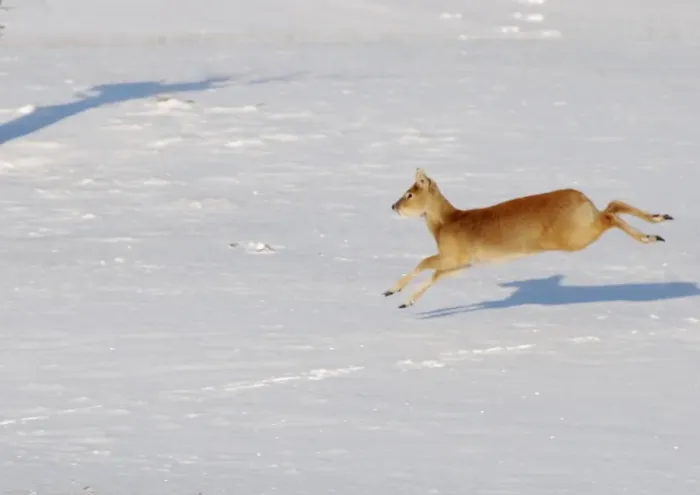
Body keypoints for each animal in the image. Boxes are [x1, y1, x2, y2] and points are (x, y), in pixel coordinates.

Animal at [384, 169, 673, 309]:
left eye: (410, 193)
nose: (393, 206)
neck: (445, 224)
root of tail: (582, 198)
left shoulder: (453, 255)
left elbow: (424, 264)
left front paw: (396, 294)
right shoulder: (462, 263)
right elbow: (433, 274)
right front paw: (402, 299)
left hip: (574, 237)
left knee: (611, 215)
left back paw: (650, 235)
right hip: (581, 227)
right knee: (613, 205)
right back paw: (658, 221)